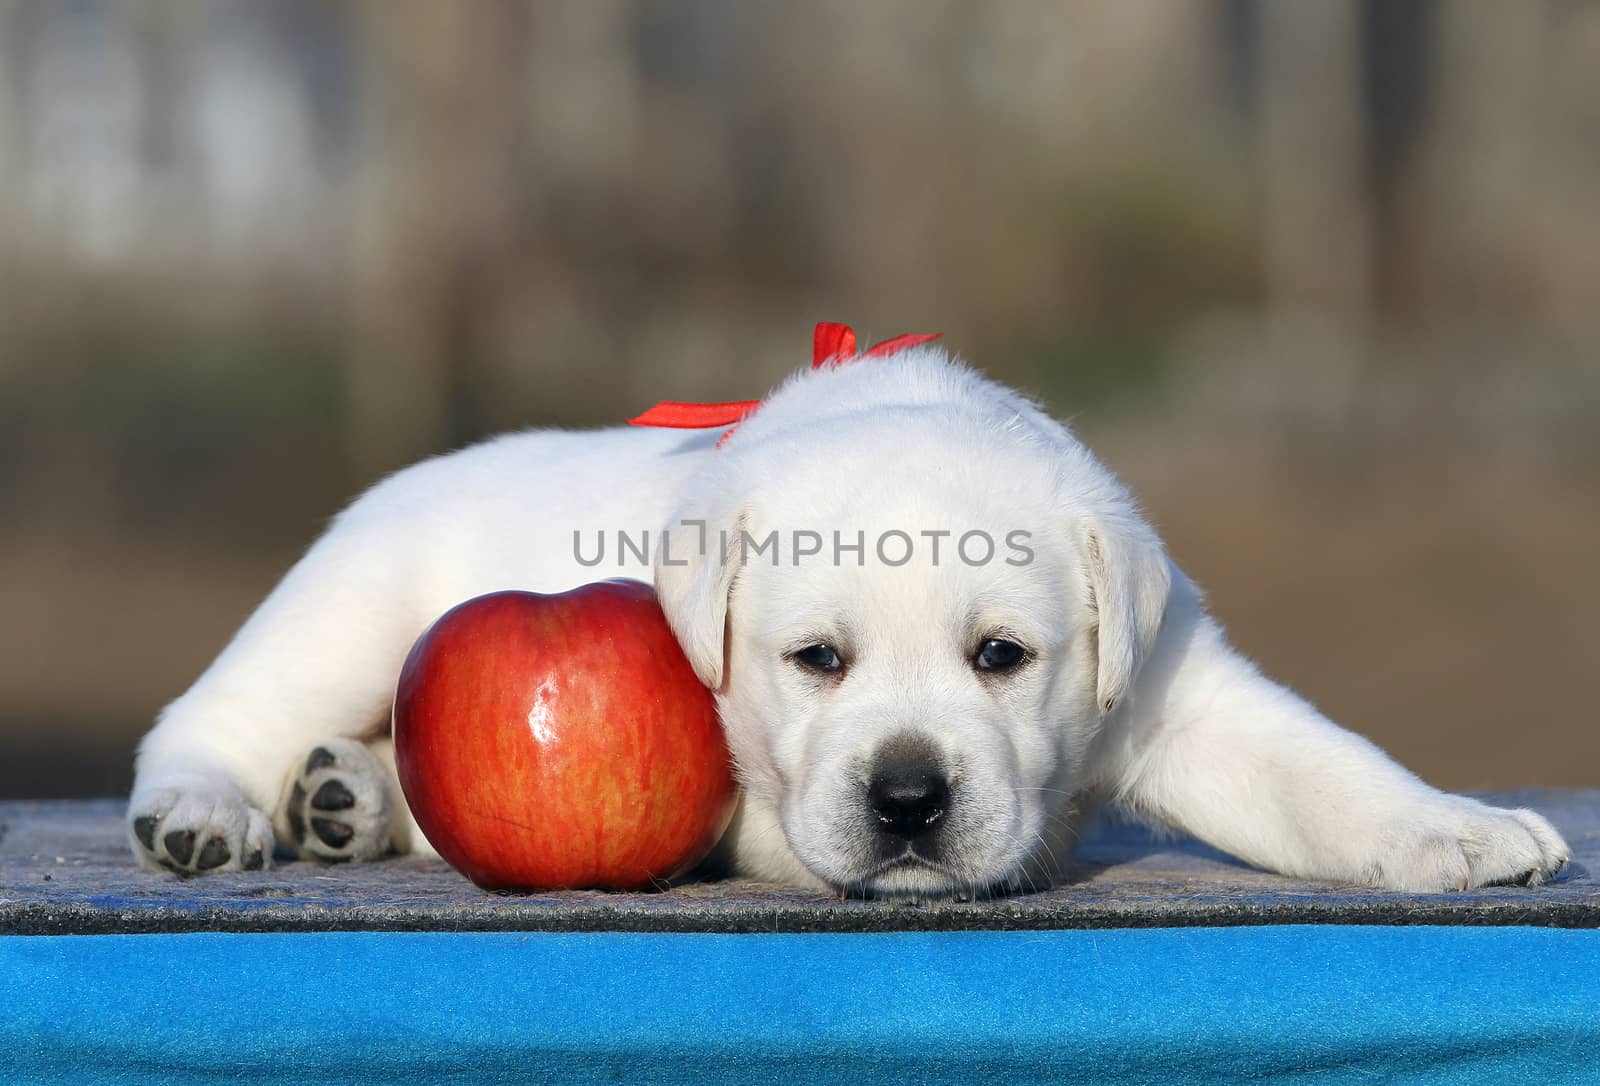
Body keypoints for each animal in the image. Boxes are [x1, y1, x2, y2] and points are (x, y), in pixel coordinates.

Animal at [121, 342, 1561, 902]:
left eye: (1003, 656)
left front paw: (1459, 828)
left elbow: (1326, 771)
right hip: (350, 607)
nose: (909, 799)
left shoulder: (1178, 693)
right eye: (816, 660)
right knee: (212, 712)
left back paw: (344, 796)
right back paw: (208, 811)